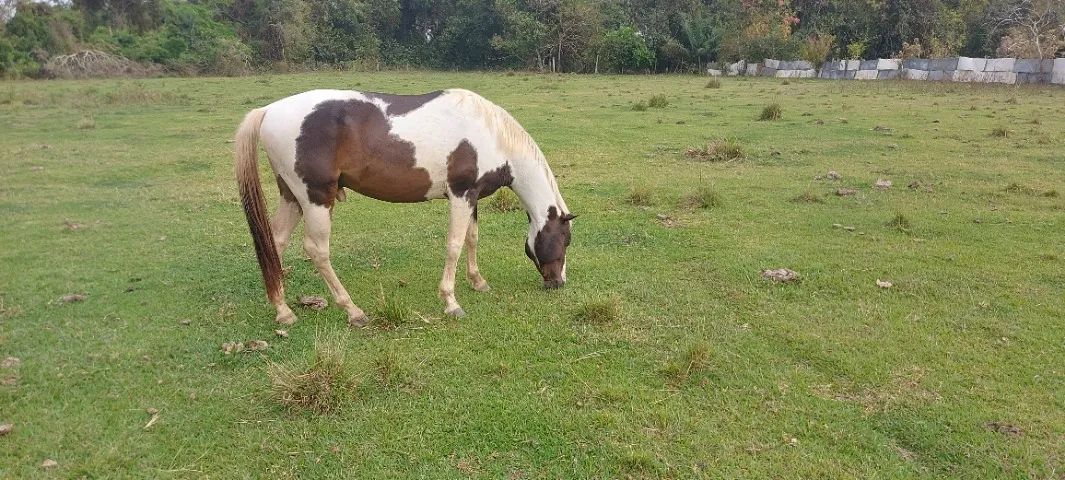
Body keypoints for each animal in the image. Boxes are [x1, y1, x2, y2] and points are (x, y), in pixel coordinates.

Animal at [234, 88, 575, 326]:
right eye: (565, 239)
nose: (558, 283)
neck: (491, 136)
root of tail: (268, 111)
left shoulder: (472, 197)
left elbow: (471, 239)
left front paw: (478, 282)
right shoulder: (461, 194)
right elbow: (454, 245)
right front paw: (451, 302)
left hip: (292, 196)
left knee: (276, 242)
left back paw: (283, 310)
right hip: (315, 198)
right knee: (317, 250)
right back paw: (353, 311)